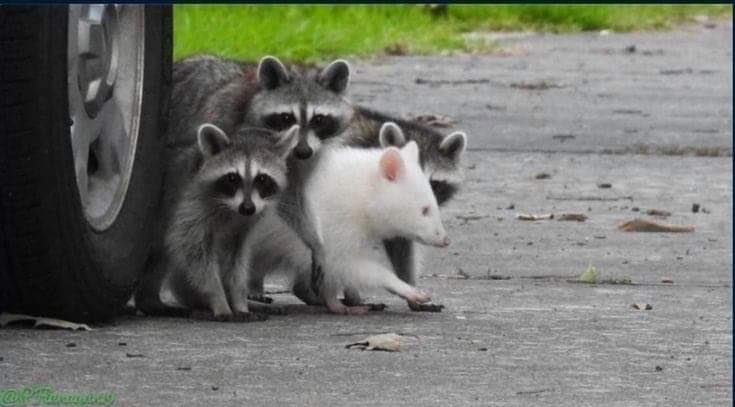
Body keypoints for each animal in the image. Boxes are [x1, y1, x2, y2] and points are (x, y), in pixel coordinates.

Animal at [134, 124, 298, 321]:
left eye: (262, 178)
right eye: (233, 178)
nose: (247, 208)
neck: (231, 208)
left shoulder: (246, 223)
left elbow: (236, 260)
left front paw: (239, 300)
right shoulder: (190, 205)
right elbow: (194, 253)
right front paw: (218, 300)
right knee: (161, 254)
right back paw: (151, 300)